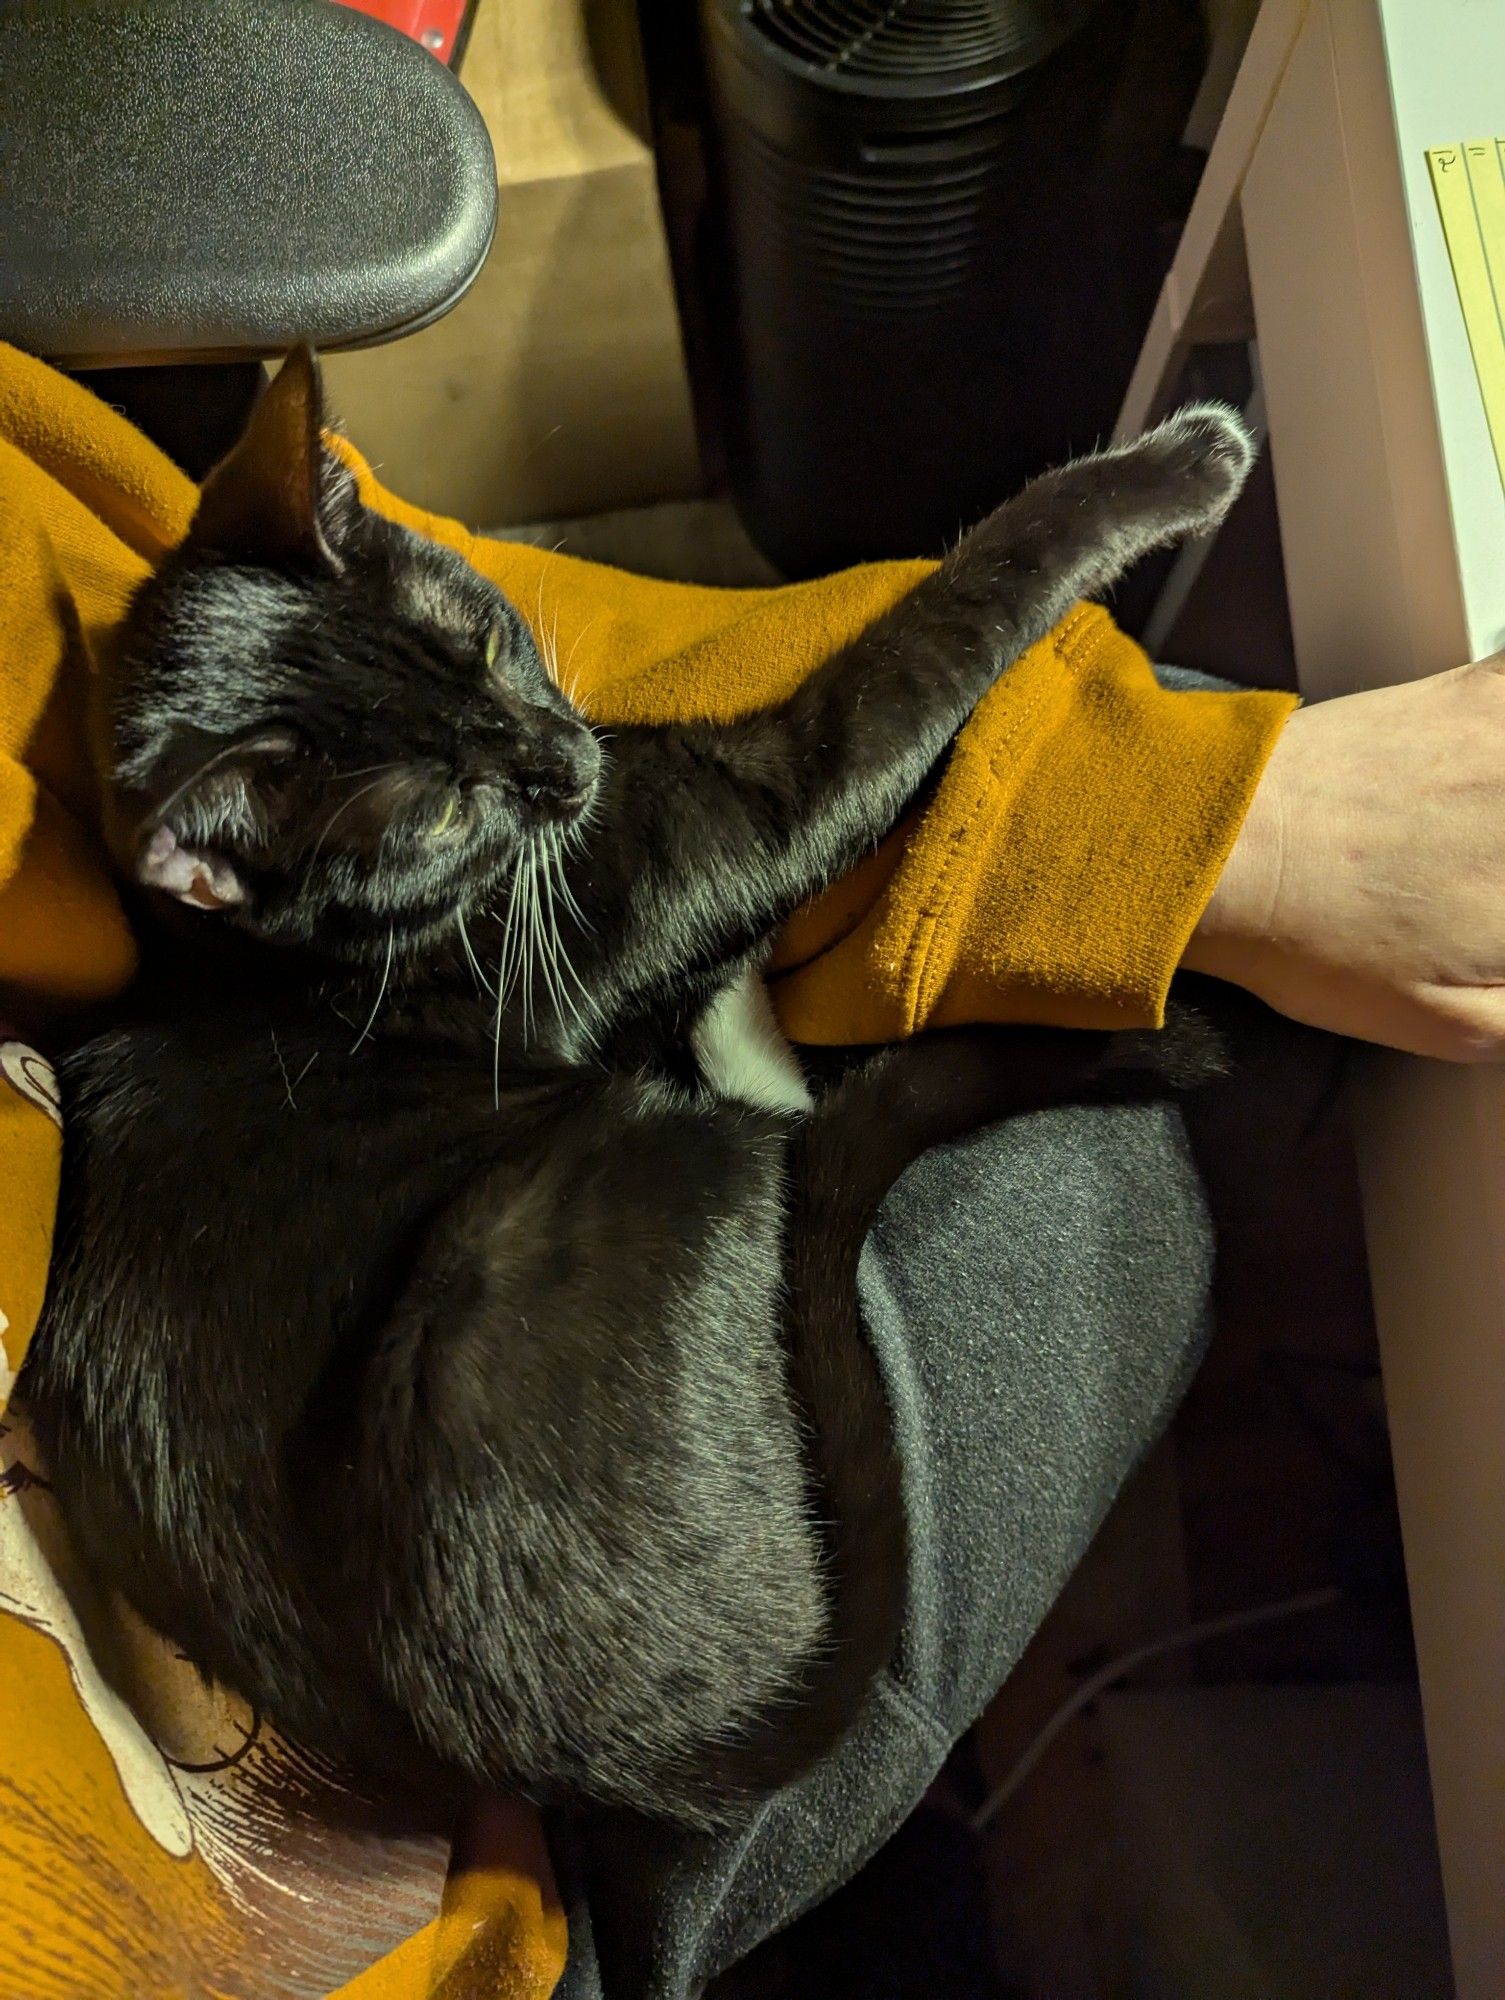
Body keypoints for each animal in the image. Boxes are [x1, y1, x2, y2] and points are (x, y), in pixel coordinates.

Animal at [17, 356, 1248, 1832]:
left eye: (485, 648)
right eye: (439, 812)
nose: (563, 761)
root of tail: (653, 1757)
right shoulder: (744, 803)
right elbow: (955, 615)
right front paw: (1179, 465)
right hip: (554, 1231)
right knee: (797, 1138)